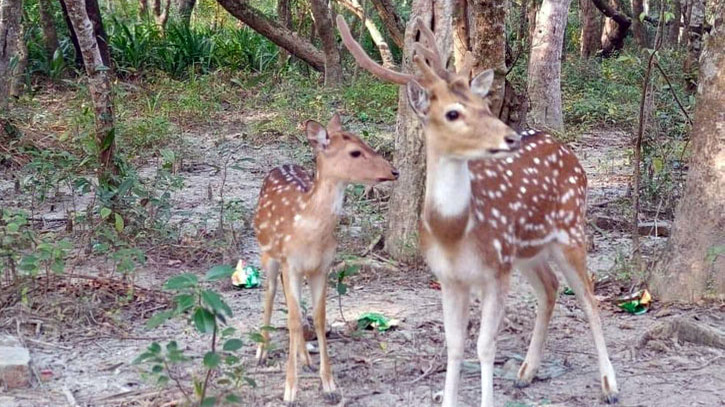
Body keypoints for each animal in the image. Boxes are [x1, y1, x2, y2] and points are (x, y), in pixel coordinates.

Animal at [253, 114, 402, 404]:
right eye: (354, 152)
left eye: (365, 142)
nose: (394, 171)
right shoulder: (291, 263)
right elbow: (293, 319)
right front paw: (289, 391)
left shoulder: (322, 266)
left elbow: (319, 317)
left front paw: (330, 385)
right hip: (268, 253)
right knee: (270, 293)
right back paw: (261, 353)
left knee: (292, 305)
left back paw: (306, 359)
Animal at [336, 15, 620, 407]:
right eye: (452, 113)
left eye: (485, 108)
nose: (509, 137)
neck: (455, 232)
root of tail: (568, 152)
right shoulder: (449, 277)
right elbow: (455, 345)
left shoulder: (495, 272)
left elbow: (486, 346)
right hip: (526, 250)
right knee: (549, 287)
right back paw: (526, 373)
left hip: (570, 228)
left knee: (589, 298)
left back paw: (610, 385)